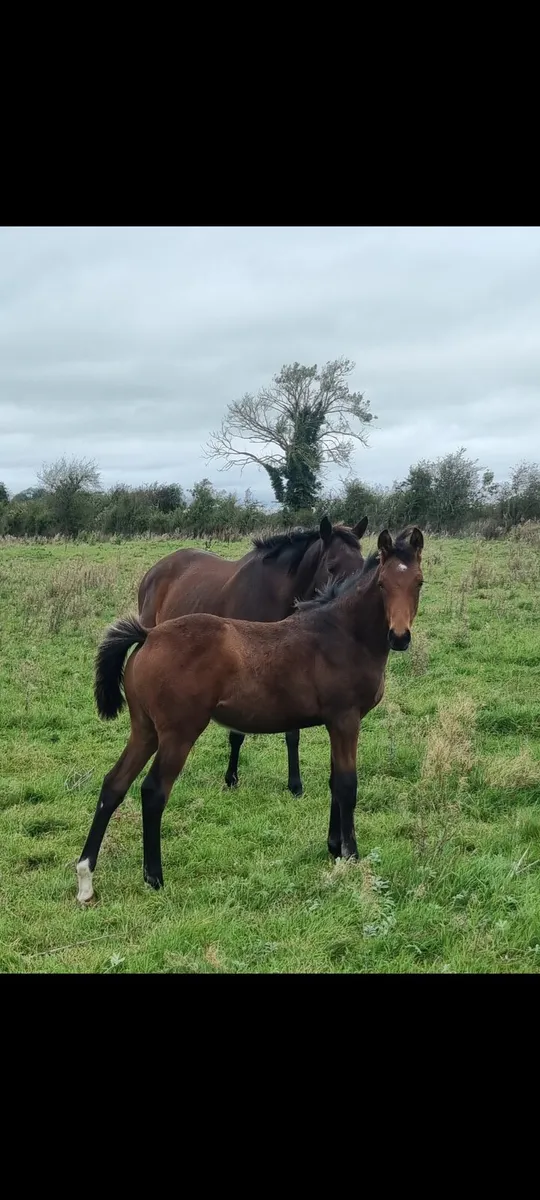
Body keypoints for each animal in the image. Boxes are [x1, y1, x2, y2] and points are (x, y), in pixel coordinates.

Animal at [137, 514, 368, 797]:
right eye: (332, 567)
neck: (274, 595)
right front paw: (231, 778)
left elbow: (292, 733)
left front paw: (295, 784)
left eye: (363, 564)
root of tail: (156, 569)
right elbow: (237, 733)